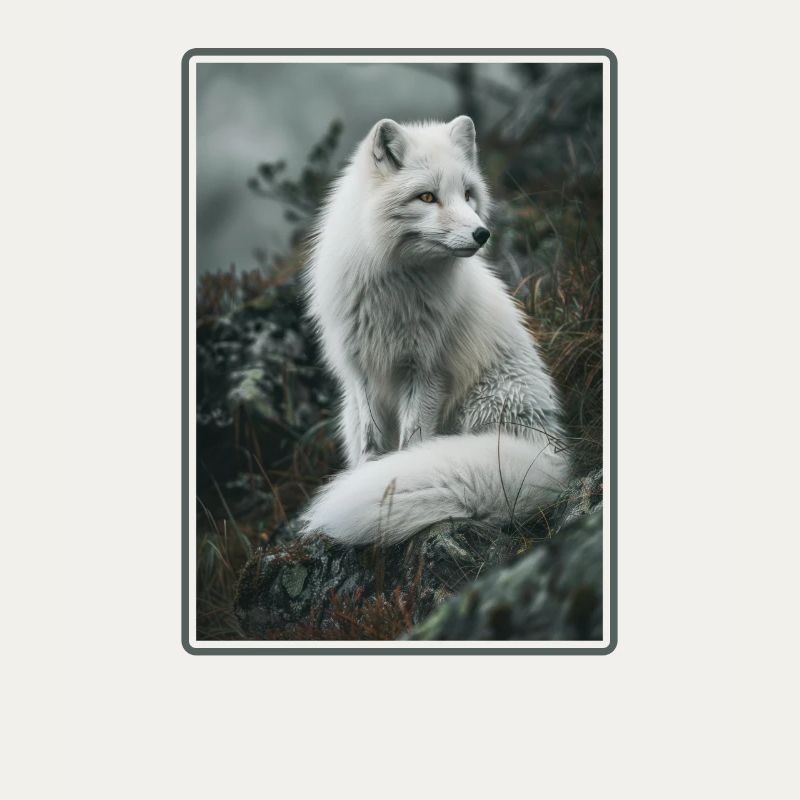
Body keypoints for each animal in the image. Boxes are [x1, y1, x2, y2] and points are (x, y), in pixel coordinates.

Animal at [301, 115, 571, 545]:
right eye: (427, 197)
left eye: (468, 194)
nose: (482, 234)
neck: (394, 290)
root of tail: (549, 453)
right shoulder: (361, 371)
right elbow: (371, 443)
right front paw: (368, 474)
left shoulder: (427, 371)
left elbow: (411, 443)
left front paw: (390, 478)